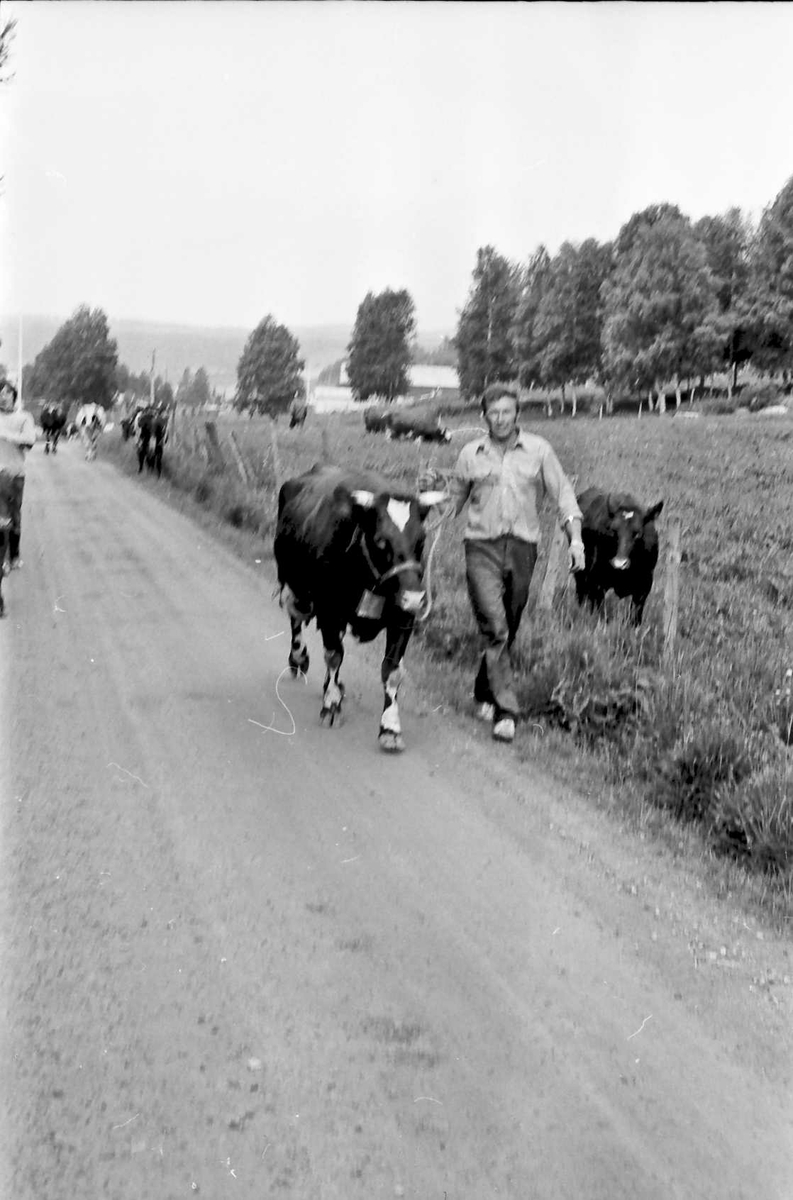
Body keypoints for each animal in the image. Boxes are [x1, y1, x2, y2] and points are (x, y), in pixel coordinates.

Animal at [272, 460, 446, 748]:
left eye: (421, 540)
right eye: (381, 541)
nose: (414, 597)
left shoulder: (403, 618)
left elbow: (391, 671)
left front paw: (390, 727)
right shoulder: (330, 611)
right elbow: (334, 656)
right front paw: (331, 706)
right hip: (290, 581)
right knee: (296, 619)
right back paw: (299, 659)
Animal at [575, 487, 662, 624]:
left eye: (637, 534)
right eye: (613, 531)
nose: (619, 563)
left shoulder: (644, 586)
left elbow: (635, 616)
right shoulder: (597, 582)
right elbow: (599, 612)